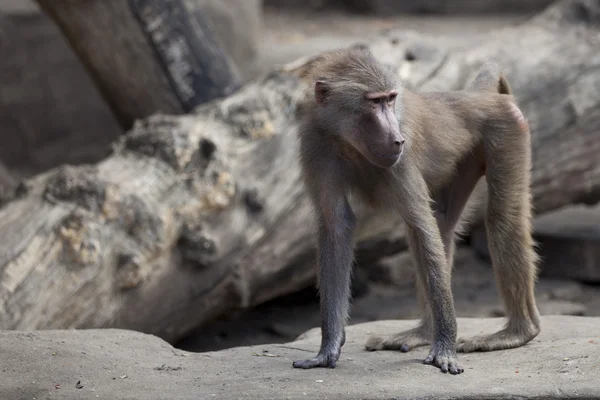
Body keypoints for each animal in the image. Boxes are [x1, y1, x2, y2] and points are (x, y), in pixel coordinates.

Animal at [292, 47, 540, 376]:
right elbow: (337, 227)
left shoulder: (402, 159)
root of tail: (474, 96)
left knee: (500, 219)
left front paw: (445, 350)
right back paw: (423, 333)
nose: (398, 139)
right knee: (443, 226)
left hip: (507, 130)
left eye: (390, 99)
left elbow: (421, 225)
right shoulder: (316, 145)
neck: (347, 141)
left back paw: (516, 333)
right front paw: (328, 348)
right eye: (374, 101)